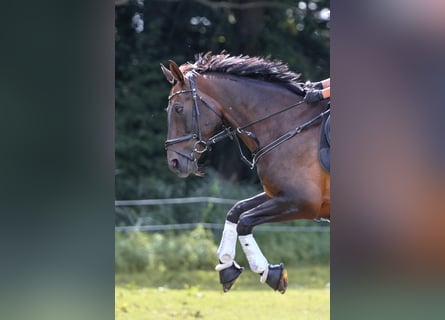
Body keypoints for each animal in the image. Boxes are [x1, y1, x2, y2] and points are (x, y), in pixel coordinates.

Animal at [161, 52, 328, 292]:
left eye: (178, 109)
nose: (174, 162)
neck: (288, 125)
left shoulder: (303, 202)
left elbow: (245, 220)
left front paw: (268, 272)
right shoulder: (278, 194)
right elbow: (236, 210)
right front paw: (226, 265)